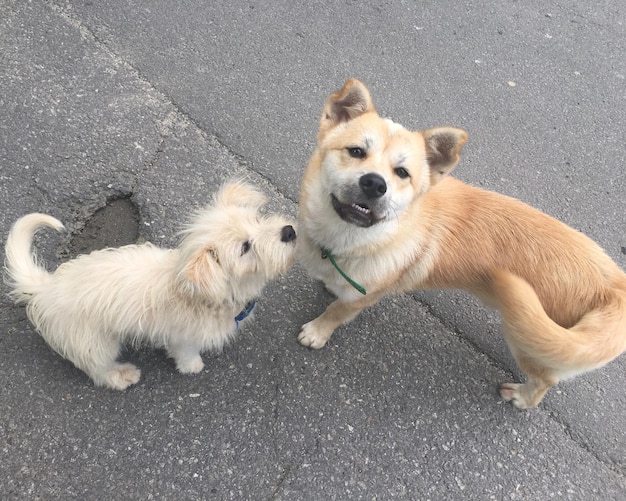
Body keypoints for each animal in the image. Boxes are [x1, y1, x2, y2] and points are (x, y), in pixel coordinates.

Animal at [4, 182, 298, 388]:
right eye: (245, 247)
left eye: (257, 218)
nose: (290, 232)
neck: (205, 295)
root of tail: (46, 287)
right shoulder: (183, 338)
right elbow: (186, 355)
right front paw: (193, 367)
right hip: (94, 343)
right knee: (97, 369)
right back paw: (120, 376)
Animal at [298, 78, 624, 406]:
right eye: (356, 151)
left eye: (402, 173)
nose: (375, 184)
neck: (356, 238)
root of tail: (613, 285)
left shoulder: (363, 298)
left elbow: (335, 313)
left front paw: (317, 332)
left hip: (531, 340)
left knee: (545, 381)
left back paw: (521, 397)